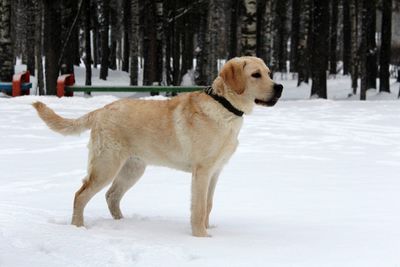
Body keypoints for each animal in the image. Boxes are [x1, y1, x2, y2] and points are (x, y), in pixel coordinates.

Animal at [34, 56, 282, 237]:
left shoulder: (216, 171)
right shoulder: (202, 171)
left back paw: (122, 224)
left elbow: (209, 205)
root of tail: (100, 110)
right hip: (106, 166)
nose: (279, 87)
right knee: (80, 195)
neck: (225, 107)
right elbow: (199, 207)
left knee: (111, 195)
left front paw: (207, 230)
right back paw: (78, 228)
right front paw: (201, 237)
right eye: (256, 75)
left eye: (269, 73)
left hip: (133, 168)